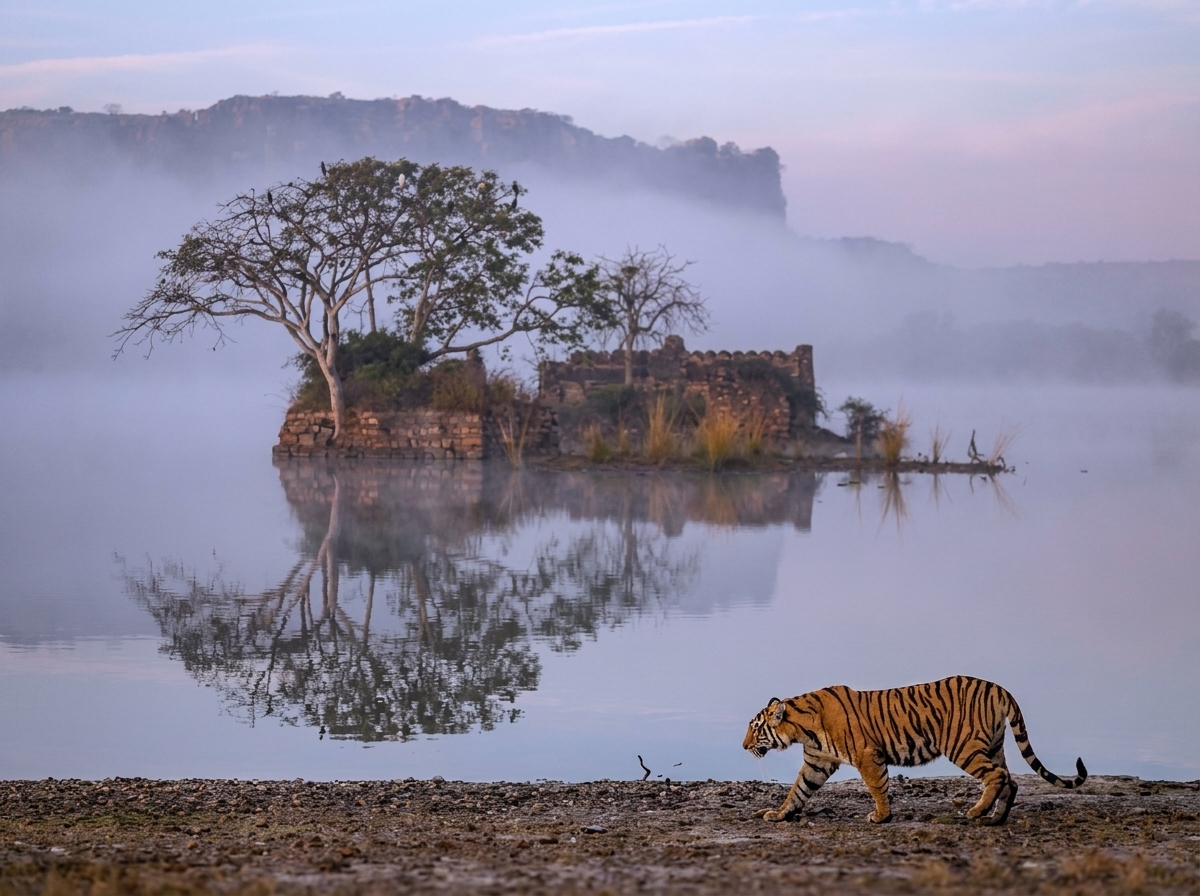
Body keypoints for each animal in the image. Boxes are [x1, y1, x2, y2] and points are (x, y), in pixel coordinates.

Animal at [742, 675, 1087, 826]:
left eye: (755, 729)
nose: (744, 746)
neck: (803, 729)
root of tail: (1000, 688)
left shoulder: (868, 756)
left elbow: (877, 787)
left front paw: (881, 817)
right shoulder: (817, 762)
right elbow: (797, 791)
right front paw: (779, 814)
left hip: (963, 747)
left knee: (997, 776)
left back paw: (977, 812)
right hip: (992, 746)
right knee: (1010, 780)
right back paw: (996, 818)